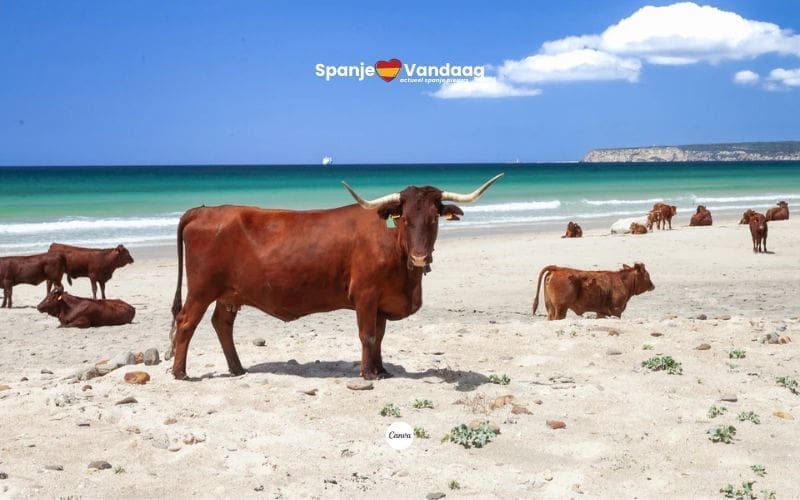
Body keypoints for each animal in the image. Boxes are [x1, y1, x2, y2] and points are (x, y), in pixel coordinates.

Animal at [165, 174, 504, 380]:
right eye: (405, 219)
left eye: (433, 219)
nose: (420, 256)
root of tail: (204, 210)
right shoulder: (366, 295)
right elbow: (367, 335)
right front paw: (368, 374)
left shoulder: (381, 302)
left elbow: (379, 337)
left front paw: (381, 370)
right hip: (202, 289)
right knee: (187, 322)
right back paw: (181, 372)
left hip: (230, 294)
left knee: (221, 324)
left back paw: (237, 369)